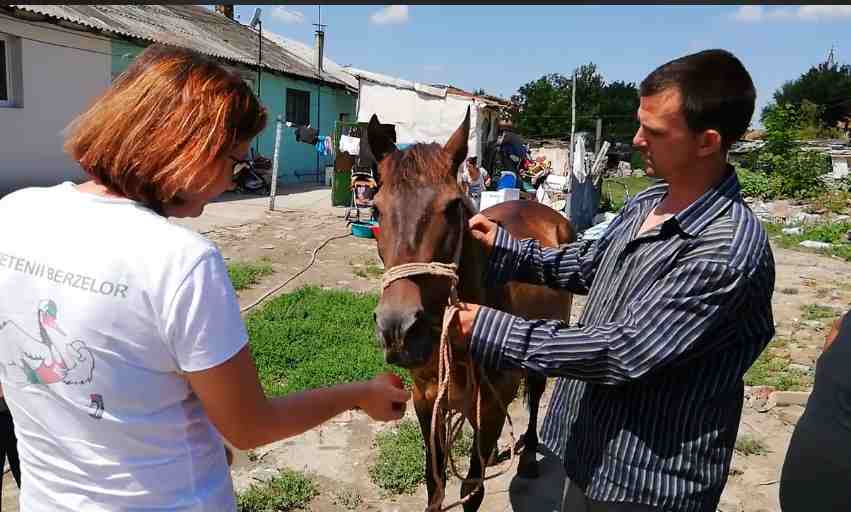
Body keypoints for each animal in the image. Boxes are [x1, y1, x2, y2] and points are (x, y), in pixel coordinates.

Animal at [366, 109, 572, 512]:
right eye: (376, 208)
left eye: (452, 207)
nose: (398, 329)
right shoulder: (426, 400)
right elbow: (435, 482)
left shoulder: (492, 404)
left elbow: (471, 490)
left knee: (536, 395)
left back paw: (528, 456)